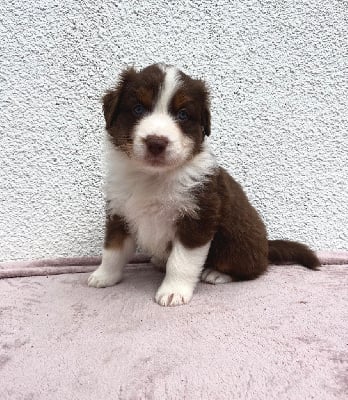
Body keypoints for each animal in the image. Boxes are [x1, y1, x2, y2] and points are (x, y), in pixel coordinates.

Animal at [87, 63, 320, 306]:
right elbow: (113, 251)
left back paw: (217, 274)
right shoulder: (119, 212)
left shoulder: (198, 217)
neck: (153, 177)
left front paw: (173, 291)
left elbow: (181, 261)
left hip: (236, 241)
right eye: (138, 109)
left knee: (252, 269)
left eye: (183, 114)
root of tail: (266, 246)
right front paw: (104, 276)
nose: (156, 143)